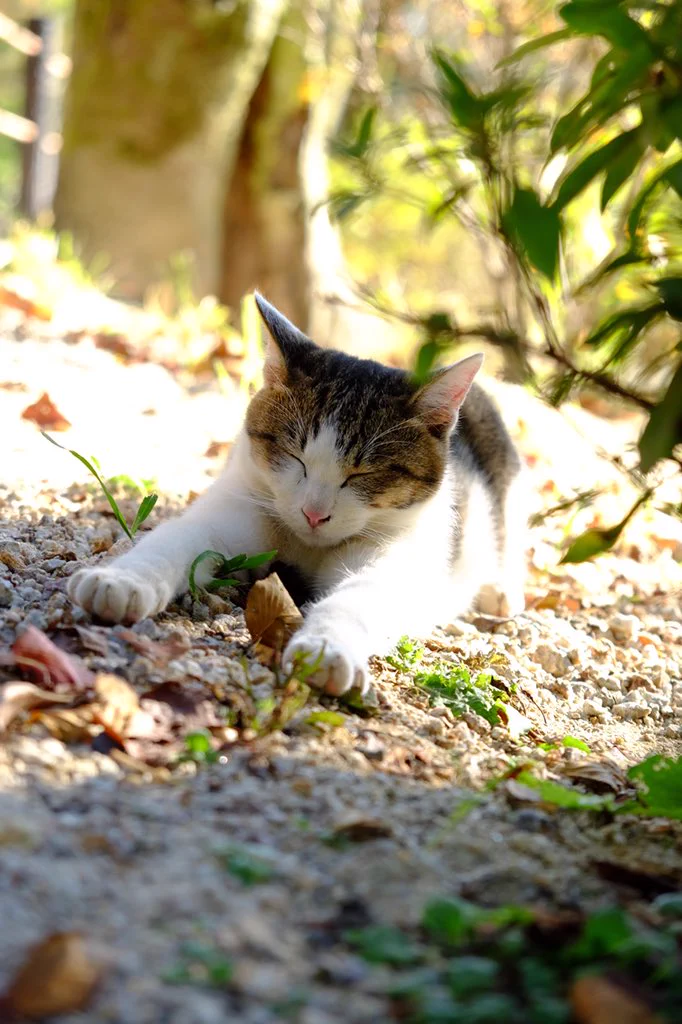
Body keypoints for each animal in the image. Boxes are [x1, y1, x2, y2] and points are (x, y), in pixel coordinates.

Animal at [69, 294, 524, 696]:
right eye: (294, 456)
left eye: (362, 473)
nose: (314, 514)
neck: (307, 547)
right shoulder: (237, 505)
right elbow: (175, 540)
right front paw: (121, 580)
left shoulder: (397, 556)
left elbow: (360, 596)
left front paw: (327, 647)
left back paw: (500, 591)